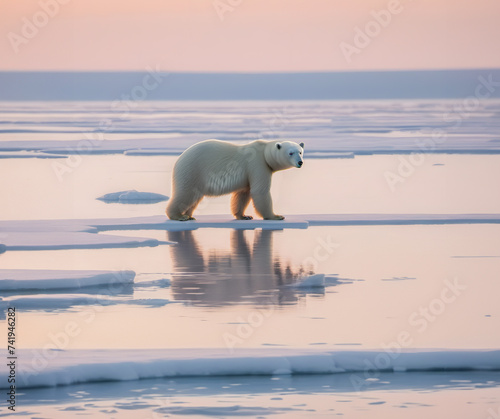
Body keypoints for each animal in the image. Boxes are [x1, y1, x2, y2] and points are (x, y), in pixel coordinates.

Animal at [166, 139, 302, 221]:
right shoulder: (257, 164)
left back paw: (189, 215)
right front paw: (276, 216)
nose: (300, 162)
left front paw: (244, 216)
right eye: (291, 153)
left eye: (300, 152)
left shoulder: (248, 174)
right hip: (192, 171)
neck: (264, 152)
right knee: (186, 194)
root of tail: (179, 159)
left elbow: (243, 194)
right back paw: (179, 216)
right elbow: (260, 191)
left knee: (194, 197)